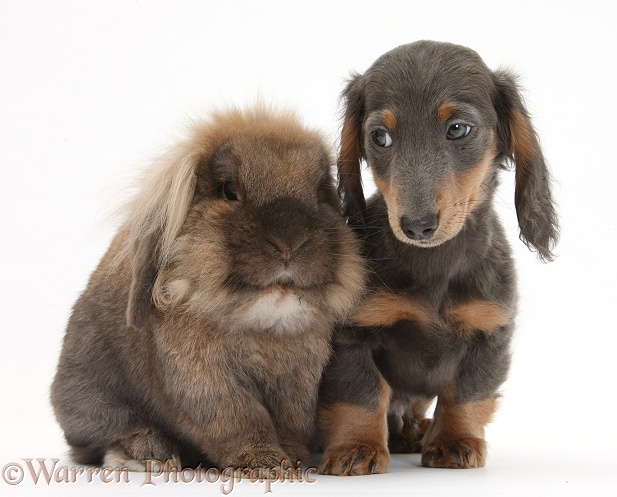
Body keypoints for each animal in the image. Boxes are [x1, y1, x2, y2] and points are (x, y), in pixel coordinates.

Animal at [50, 105, 366, 472]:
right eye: (228, 190)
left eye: (319, 192)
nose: (289, 244)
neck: (263, 324)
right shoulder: (208, 383)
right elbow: (242, 419)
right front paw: (263, 463)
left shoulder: (298, 385)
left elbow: (289, 425)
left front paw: (292, 459)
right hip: (90, 396)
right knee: (103, 438)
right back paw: (152, 454)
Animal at [318, 41, 560, 472]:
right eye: (380, 136)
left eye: (458, 129)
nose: (417, 226)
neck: (436, 265)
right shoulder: (350, 336)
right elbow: (361, 393)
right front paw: (356, 447)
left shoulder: (490, 332)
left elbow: (466, 393)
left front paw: (454, 440)